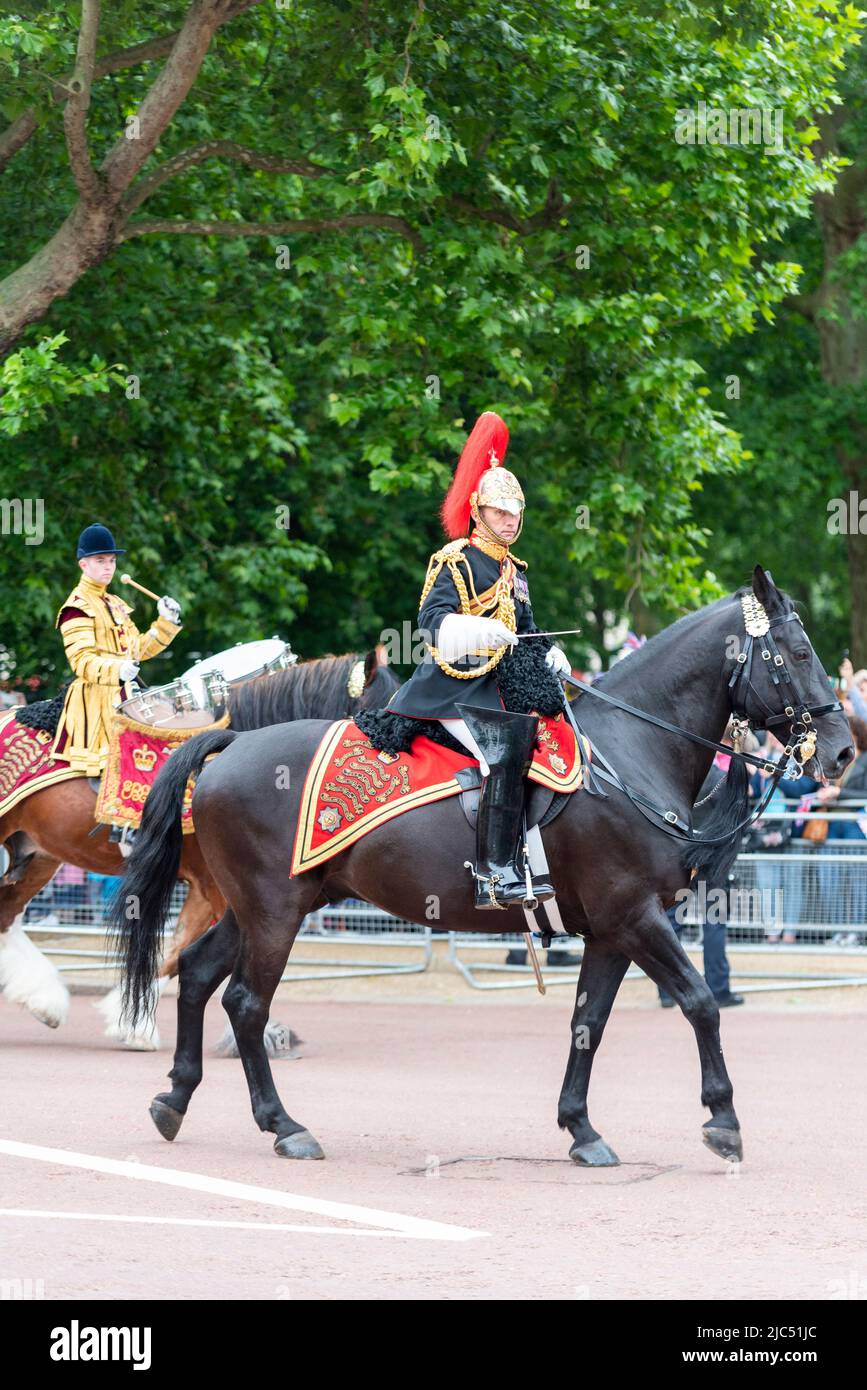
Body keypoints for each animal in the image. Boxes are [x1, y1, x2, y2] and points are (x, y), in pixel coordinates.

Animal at [0, 650, 400, 1045]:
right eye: (379, 715)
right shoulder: (222, 889)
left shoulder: (216, 890)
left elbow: (180, 951)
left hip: (38, 856)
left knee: (7, 916)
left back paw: (43, 1000)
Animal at [111, 569, 850, 1167]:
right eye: (798, 653)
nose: (842, 753)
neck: (627, 752)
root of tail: (231, 739)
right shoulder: (636, 917)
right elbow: (700, 1002)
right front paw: (722, 1119)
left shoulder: (611, 931)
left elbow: (588, 1023)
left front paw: (580, 1129)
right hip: (273, 911)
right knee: (244, 1001)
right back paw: (284, 1126)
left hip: (263, 905)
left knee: (199, 974)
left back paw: (175, 1099)